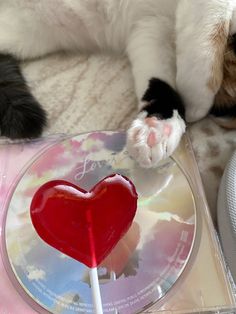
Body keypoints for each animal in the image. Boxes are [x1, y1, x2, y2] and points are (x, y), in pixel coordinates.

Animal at [0, 0, 235, 167]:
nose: (218, 112)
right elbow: (208, 31)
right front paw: (197, 99)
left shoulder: (150, 27)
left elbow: (160, 83)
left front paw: (157, 127)